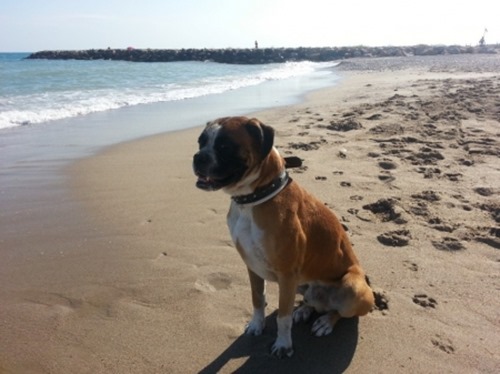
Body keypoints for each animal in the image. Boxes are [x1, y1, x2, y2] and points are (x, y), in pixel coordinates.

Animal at [193, 116, 374, 356]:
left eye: (225, 146)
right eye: (201, 142)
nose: (198, 157)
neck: (253, 199)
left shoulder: (287, 274)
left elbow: (283, 316)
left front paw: (283, 344)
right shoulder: (252, 267)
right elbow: (257, 299)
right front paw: (256, 325)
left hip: (354, 288)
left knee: (339, 311)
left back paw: (325, 322)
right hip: (301, 283)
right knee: (309, 301)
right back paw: (305, 310)